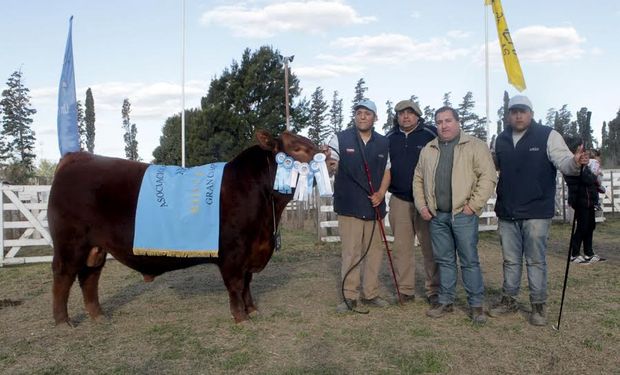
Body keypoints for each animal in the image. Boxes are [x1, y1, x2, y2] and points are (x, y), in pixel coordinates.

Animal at [48, 131, 320, 324]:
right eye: (296, 148)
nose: (325, 155)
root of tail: (77, 157)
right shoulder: (233, 253)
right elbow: (236, 284)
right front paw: (241, 317)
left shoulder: (252, 250)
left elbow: (247, 283)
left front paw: (252, 309)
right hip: (70, 243)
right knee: (64, 276)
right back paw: (63, 322)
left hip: (96, 247)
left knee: (89, 277)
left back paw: (99, 316)